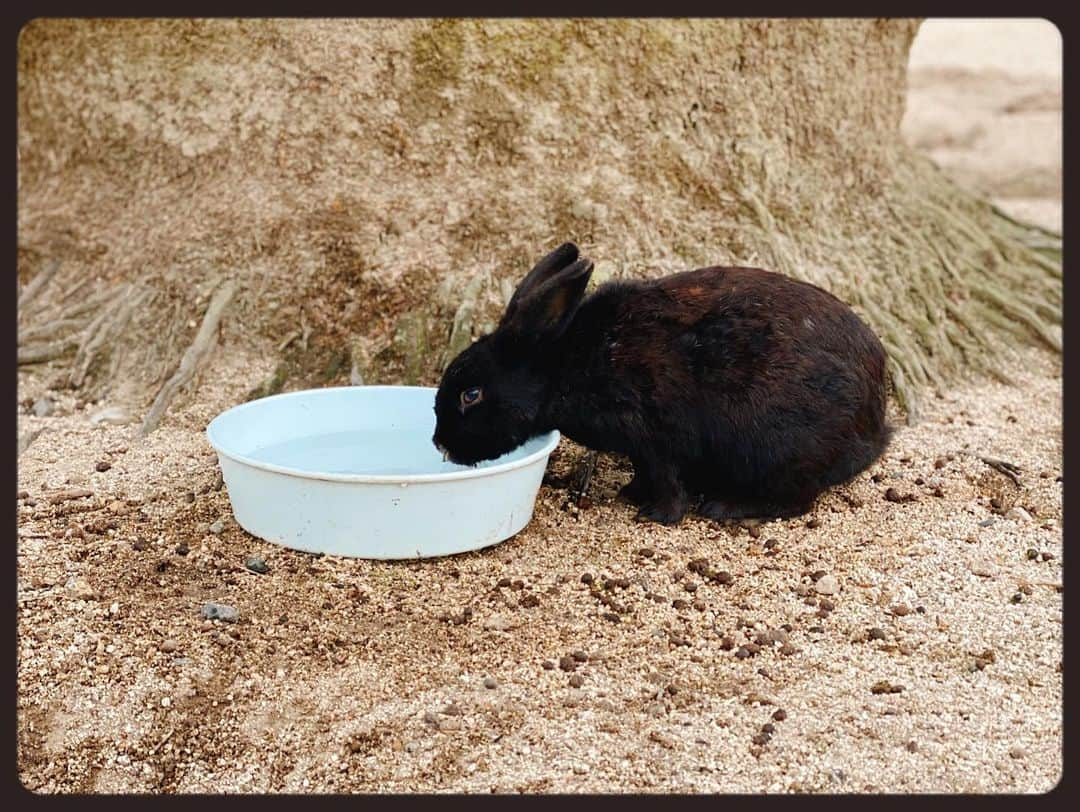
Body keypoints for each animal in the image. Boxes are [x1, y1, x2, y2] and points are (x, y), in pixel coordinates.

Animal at [432, 240, 894, 522]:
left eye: (471, 394)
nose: (440, 444)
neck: (561, 368)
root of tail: (875, 427)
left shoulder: (653, 436)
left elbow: (666, 476)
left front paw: (657, 515)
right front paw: (631, 495)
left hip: (779, 445)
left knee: (795, 499)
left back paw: (724, 507)